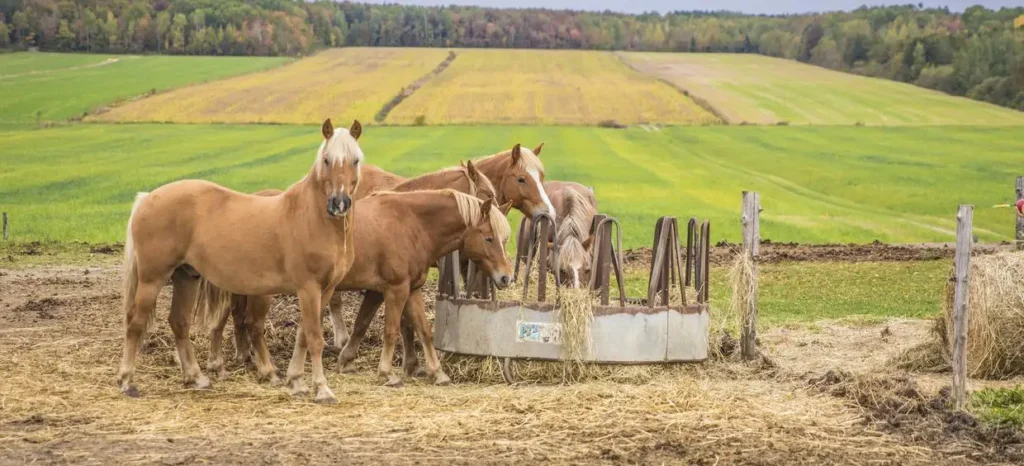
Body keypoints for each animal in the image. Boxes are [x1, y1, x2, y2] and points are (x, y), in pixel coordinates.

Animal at [119, 119, 363, 404]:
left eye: (355, 160)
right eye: (326, 160)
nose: (339, 204)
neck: (311, 217)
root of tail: (147, 198)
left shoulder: (324, 291)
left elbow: (303, 335)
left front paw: (296, 381)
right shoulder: (308, 289)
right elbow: (314, 338)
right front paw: (322, 389)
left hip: (186, 276)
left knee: (179, 322)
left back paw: (197, 378)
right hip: (152, 279)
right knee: (135, 323)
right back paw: (127, 381)